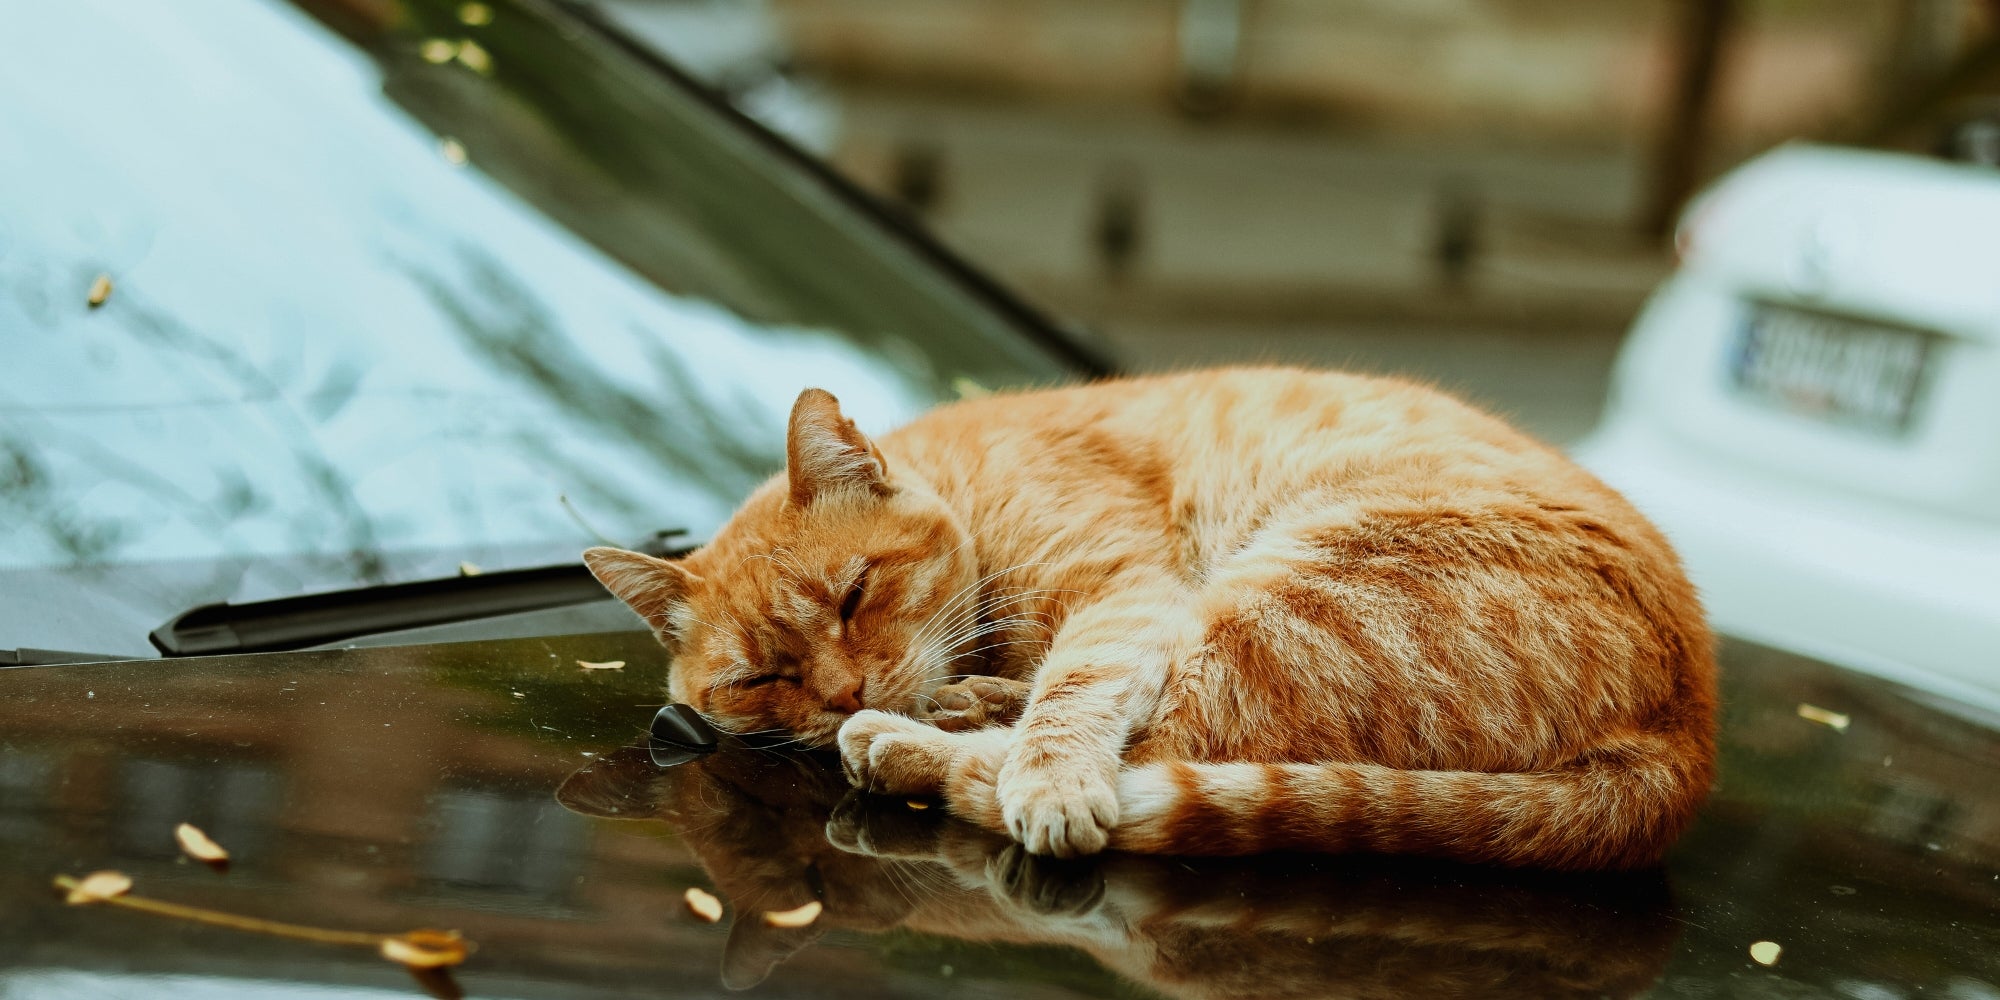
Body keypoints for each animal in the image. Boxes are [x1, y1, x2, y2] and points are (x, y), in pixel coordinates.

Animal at [584, 366, 1720, 868]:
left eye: (855, 593)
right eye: (759, 678)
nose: (841, 689)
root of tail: (1687, 726)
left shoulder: (1126, 594)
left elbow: (1074, 699)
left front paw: (1032, 758)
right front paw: (972, 692)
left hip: (1287, 598)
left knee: (1153, 754)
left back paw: (913, 742)